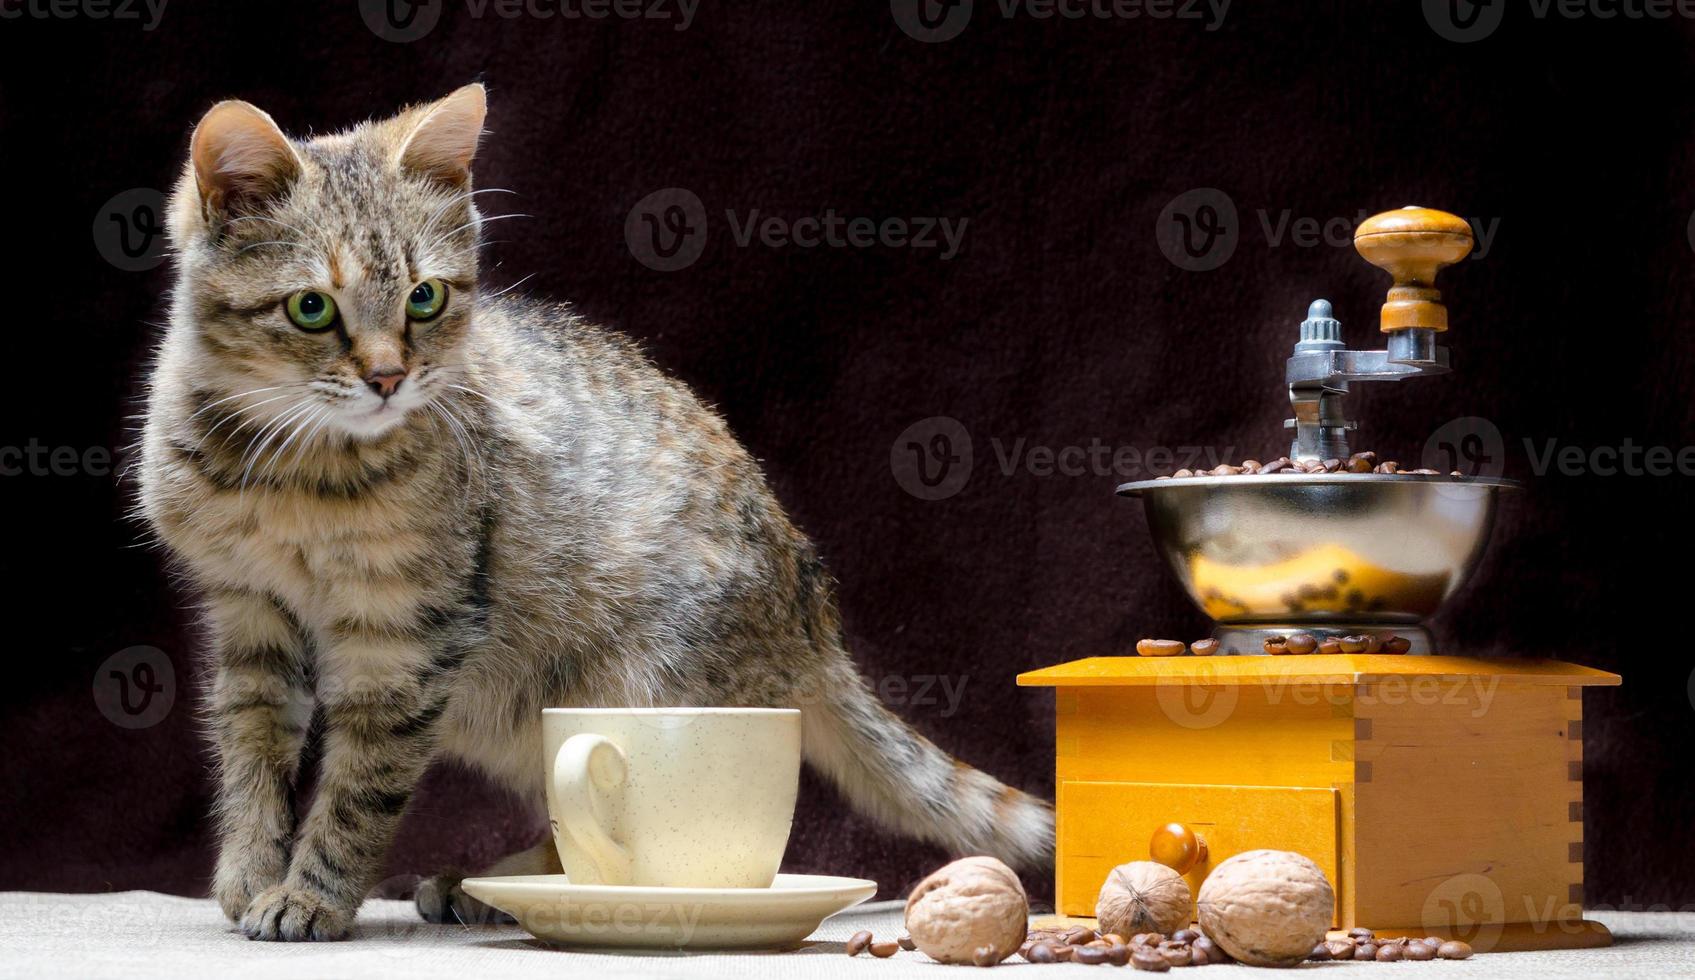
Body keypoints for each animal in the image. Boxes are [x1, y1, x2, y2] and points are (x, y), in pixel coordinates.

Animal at [138, 85, 1050, 935]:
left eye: (425, 299)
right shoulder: (249, 616)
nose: (389, 378)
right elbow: (251, 756)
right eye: (312, 307)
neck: (294, 474)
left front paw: (312, 894)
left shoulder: (405, 641)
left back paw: (499, 891)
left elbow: (361, 788)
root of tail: (812, 616)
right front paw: (251, 873)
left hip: (633, 684)